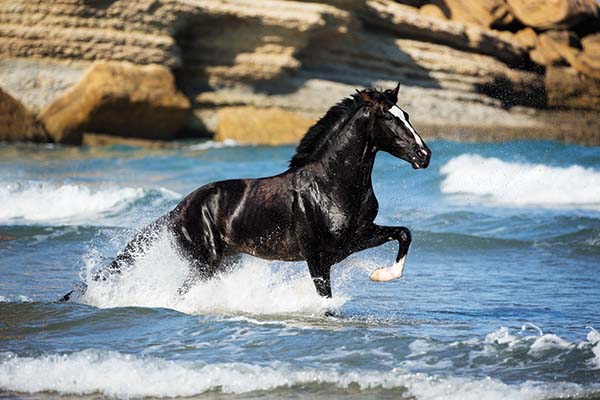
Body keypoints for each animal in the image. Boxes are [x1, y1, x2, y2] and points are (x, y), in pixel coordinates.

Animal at [61, 85, 432, 304]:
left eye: (406, 115)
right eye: (389, 118)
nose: (424, 155)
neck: (331, 185)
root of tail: (178, 210)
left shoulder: (355, 239)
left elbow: (404, 233)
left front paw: (381, 274)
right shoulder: (317, 256)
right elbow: (325, 303)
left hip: (224, 262)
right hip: (205, 262)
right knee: (180, 292)